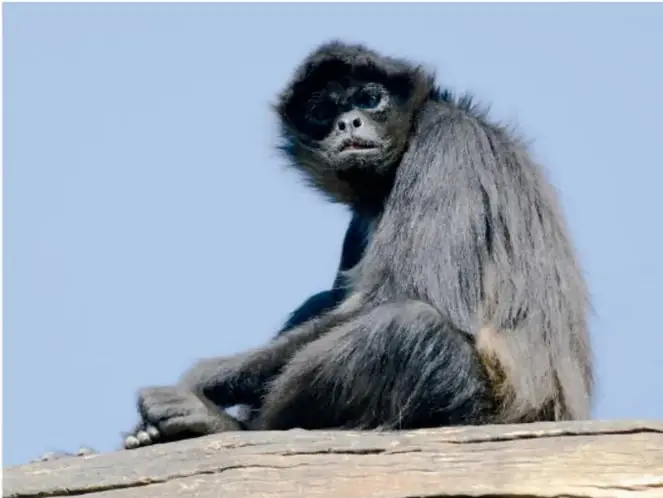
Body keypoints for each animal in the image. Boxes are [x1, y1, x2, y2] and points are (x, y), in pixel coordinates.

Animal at [123, 40, 592, 448]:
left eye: (369, 99)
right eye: (322, 110)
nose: (348, 122)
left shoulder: (447, 141)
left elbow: (398, 296)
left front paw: (201, 381)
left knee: (409, 327)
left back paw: (226, 425)